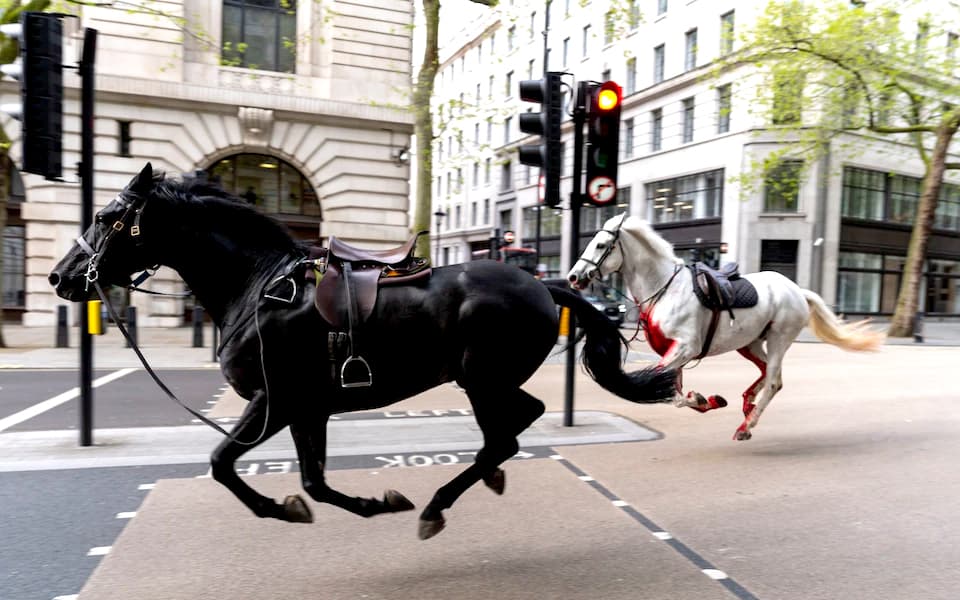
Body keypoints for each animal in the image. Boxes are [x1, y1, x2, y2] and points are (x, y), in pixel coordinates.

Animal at [50, 163, 676, 540]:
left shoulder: (273, 401)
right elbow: (313, 482)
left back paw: (438, 504)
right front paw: (368, 503)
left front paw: (279, 508)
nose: (61, 277)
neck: (257, 286)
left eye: (106, 217)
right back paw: (482, 479)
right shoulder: (307, 409)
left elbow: (223, 463)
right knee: (516, 425)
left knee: (508, 432)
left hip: (480, 379)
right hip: (485, 380)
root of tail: (542, 285)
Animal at [564, 213, 884, 438]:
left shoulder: (685, 347)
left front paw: (702, 398)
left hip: (779, 338)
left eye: (601, 244)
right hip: (750, 343)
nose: (574, 277)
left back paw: (746, 426)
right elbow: (672, 392)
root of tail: (796, 290)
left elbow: (661, 389)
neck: (665, 288)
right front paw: (705, 400)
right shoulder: (674, 352)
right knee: (768, 373)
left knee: (774, 381)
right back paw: (747, 405)